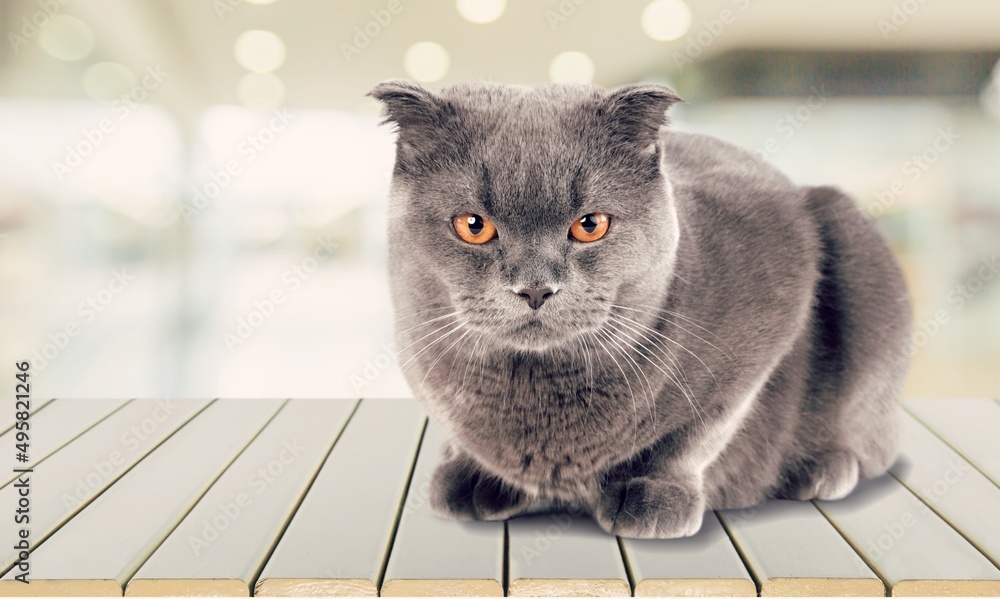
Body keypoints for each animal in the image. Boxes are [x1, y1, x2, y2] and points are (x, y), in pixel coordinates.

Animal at [372, 78, 912, 540]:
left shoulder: (775, 297)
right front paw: (471, 474)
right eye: (473, 226)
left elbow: (704, 425)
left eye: (590, 224)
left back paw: (820, 467)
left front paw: (655, 494)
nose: (536, 288)